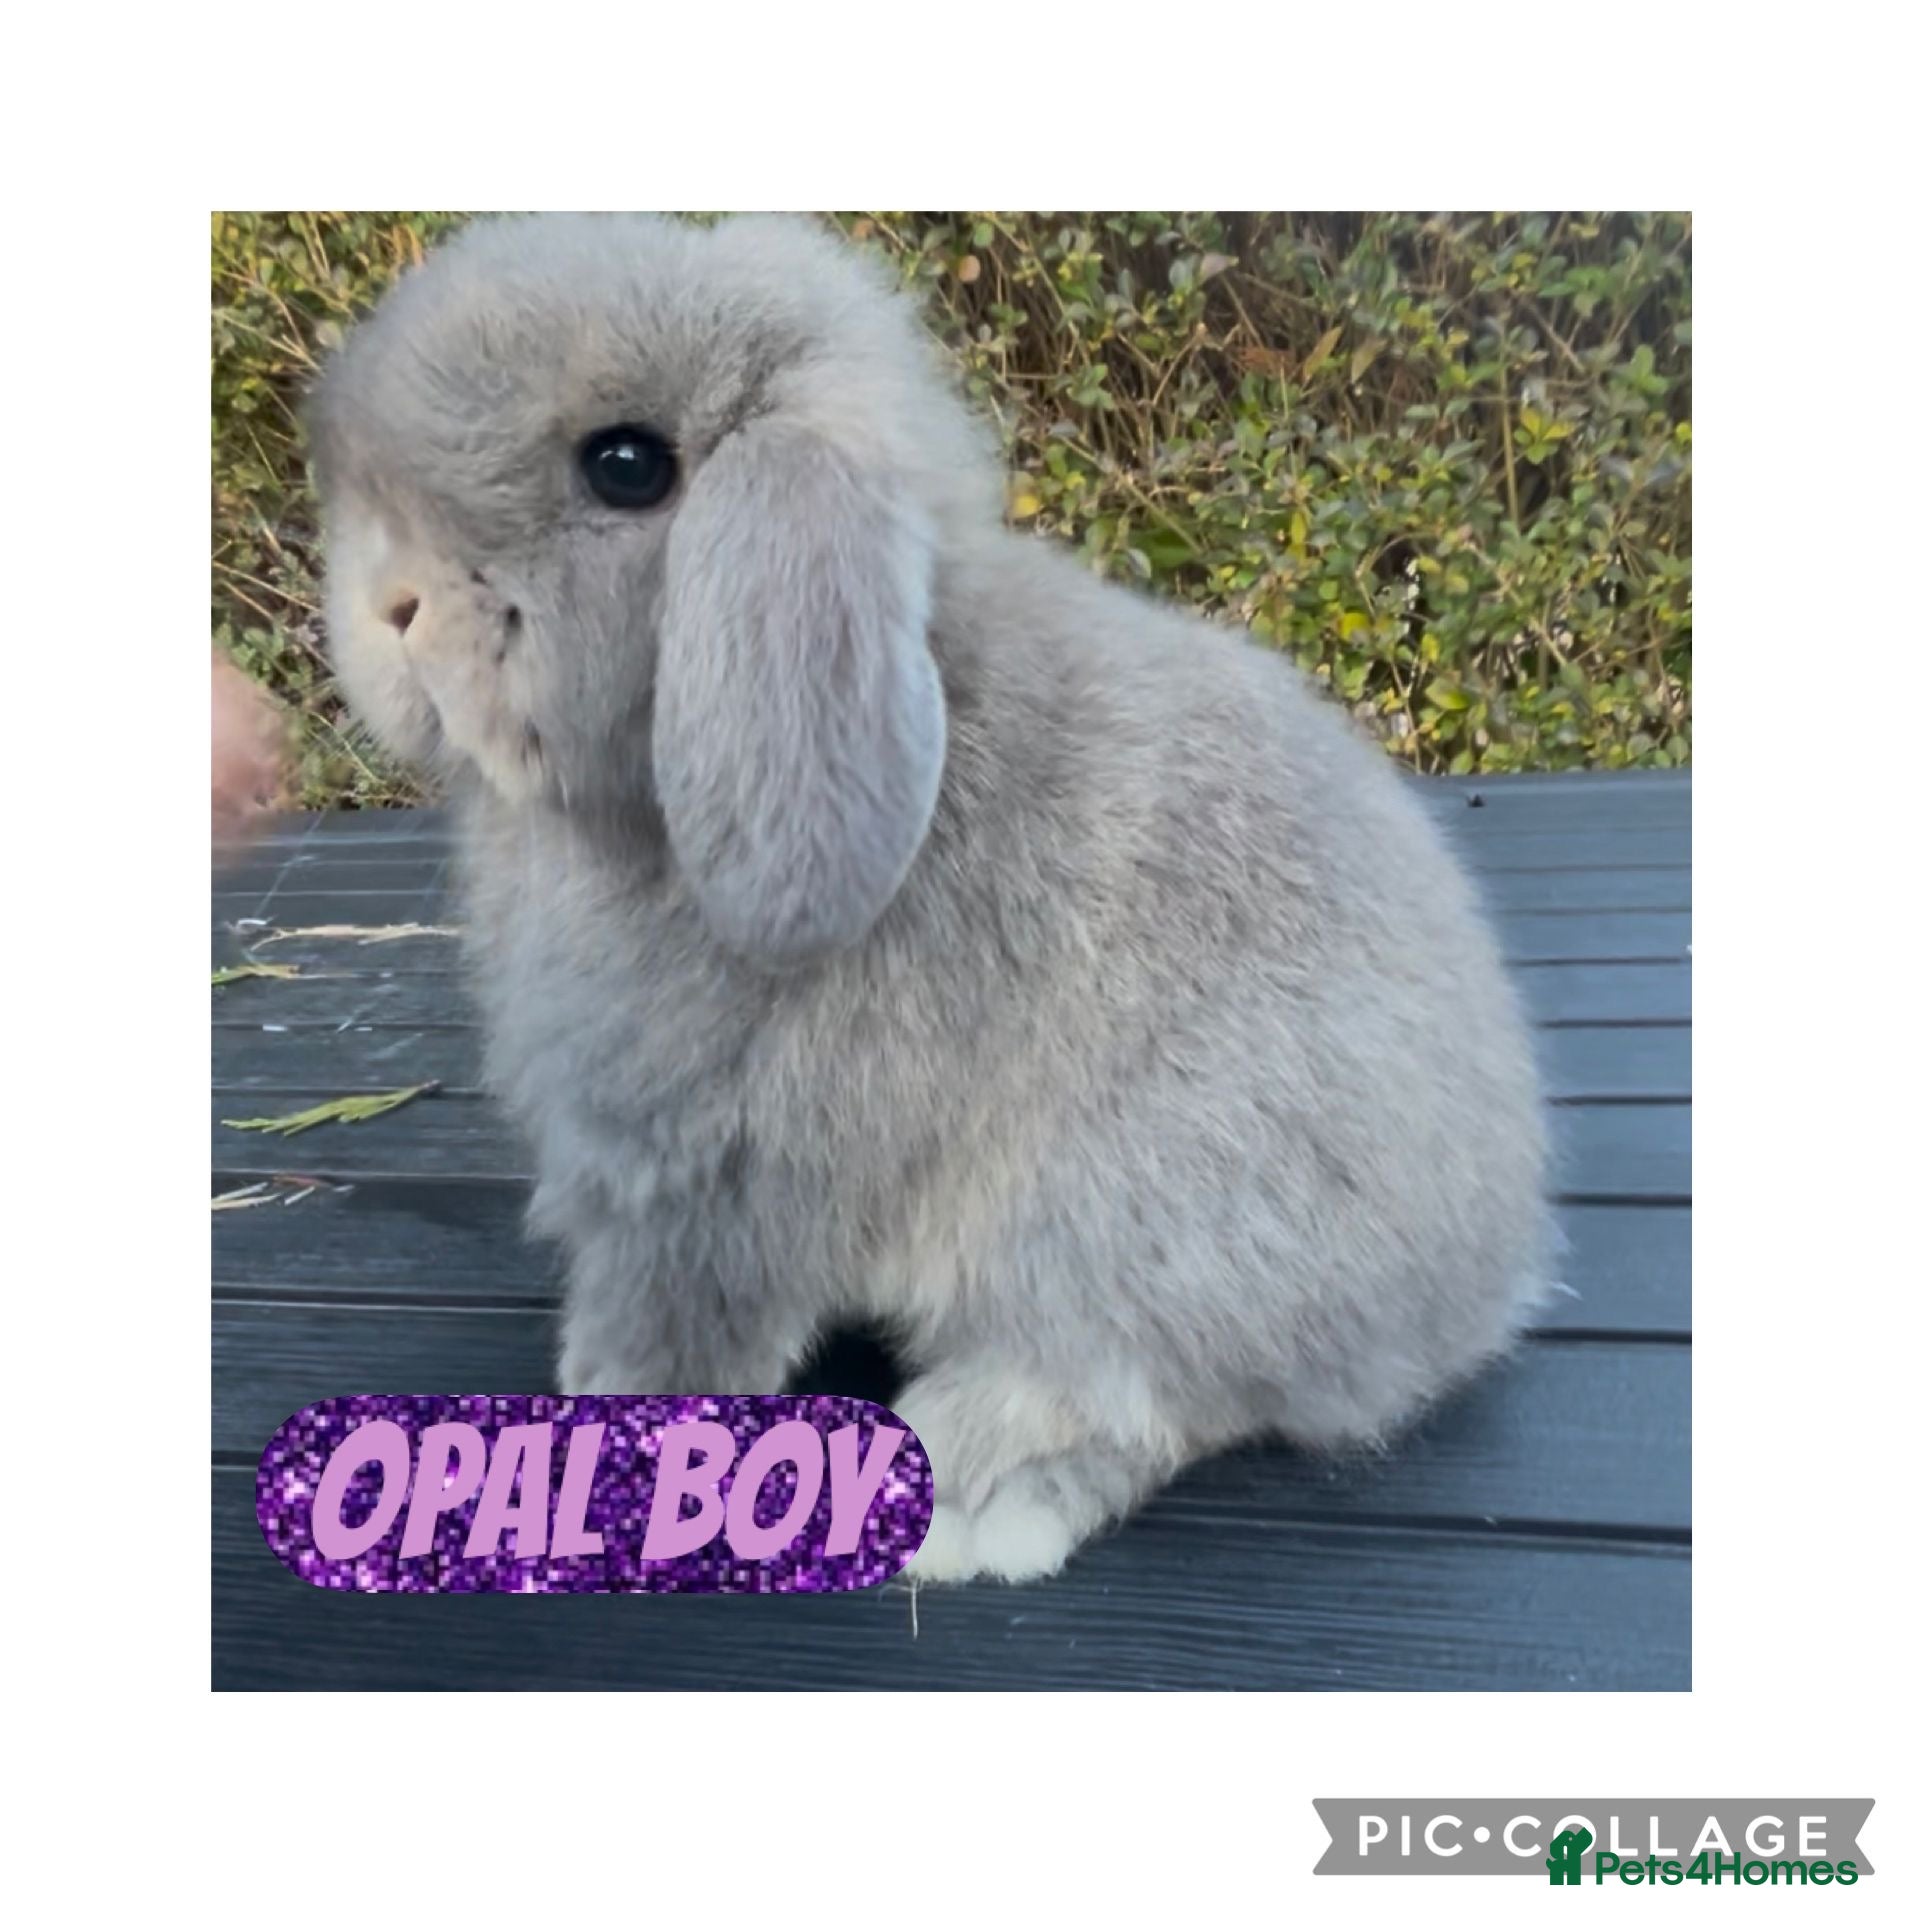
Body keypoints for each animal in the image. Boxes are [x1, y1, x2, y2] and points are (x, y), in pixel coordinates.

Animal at [308, 212, 1552, 1586]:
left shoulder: (717, 1179)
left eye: (626, 467)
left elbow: (689, 1316)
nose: (389, 604)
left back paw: (969, 1496)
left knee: (1136, 1388)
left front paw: (613, 1420)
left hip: (1140, 1211)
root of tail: (1483, 1281)